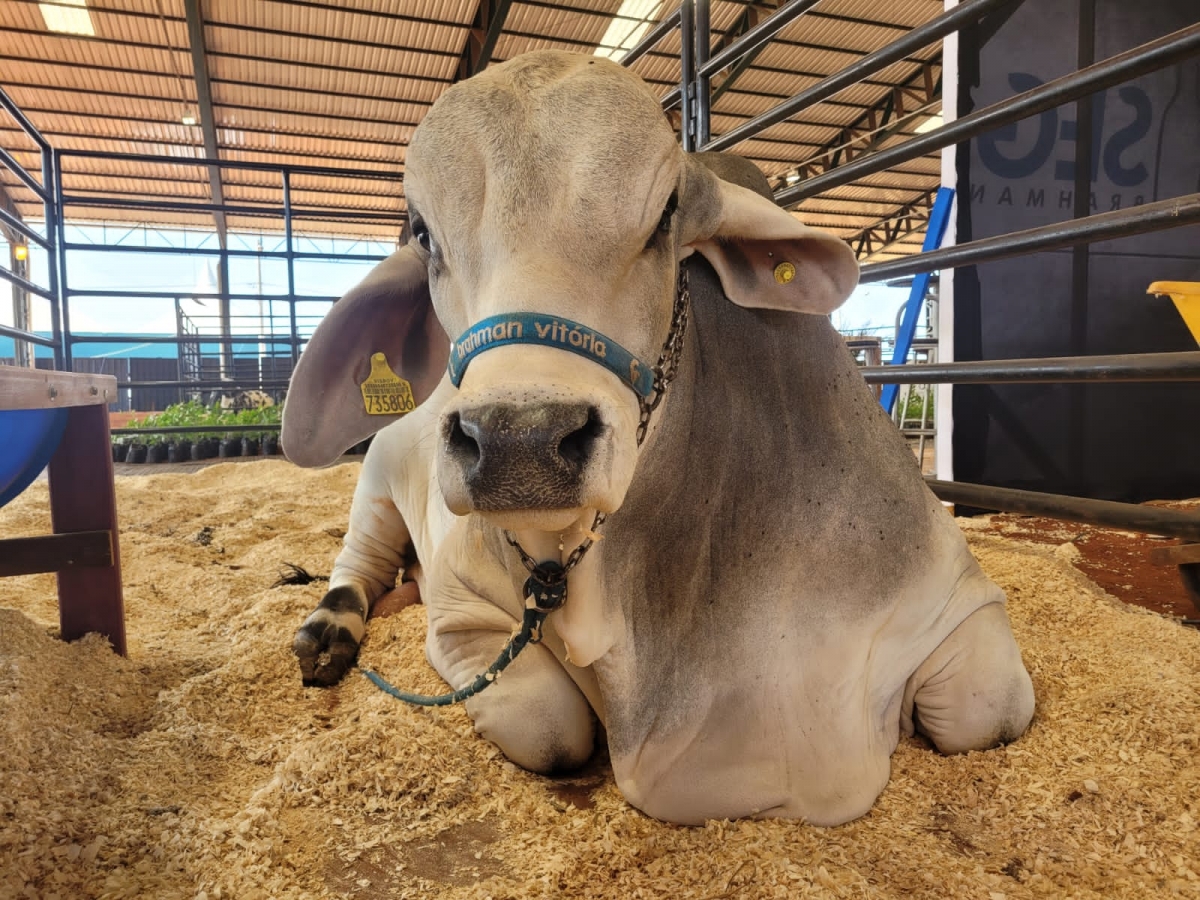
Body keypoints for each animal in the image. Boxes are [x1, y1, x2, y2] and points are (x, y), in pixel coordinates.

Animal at [280, 47, 1032, 825]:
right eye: (423, 232)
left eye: (667, 212)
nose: (520, 441)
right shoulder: (463, 609)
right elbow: (550, 725)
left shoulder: (958, 597)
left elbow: (985, 709)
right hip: (374, 482)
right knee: (357, 566)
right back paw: (328, 632)